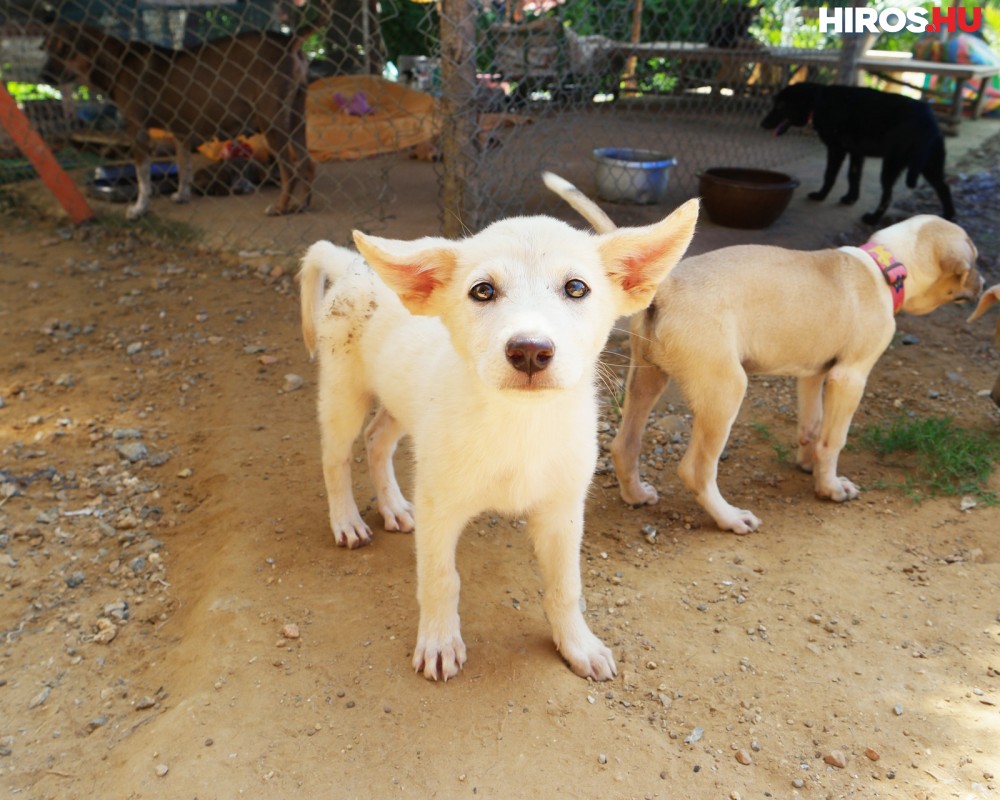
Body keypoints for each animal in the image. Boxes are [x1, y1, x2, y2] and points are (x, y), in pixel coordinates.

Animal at [300, 183, 700, 680]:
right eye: (483, 290)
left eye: (576, 288)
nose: (529, 351)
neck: (519, 426)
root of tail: (349, 263)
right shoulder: (439, 507)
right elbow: (440, 579)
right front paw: (439, 642)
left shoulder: (563, 511)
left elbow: (565, 585)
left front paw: (578, 645)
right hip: (344, 392)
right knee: (335, 458)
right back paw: (347, 521)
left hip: (400, 401)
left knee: (376, 440)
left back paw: (392, 506)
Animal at [764, 82, 952, 225]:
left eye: (781, 105)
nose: (762, 124)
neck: (819, 101)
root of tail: (930, 120)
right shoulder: (856, 153)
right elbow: (853, 176)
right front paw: (850, 199)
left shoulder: (836, 149)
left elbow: (830, 175)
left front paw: (820, 196)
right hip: (929, 166)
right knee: (944, 187)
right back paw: (949, 217)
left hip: (891, 165)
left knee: (887, 196)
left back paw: (873, 219)